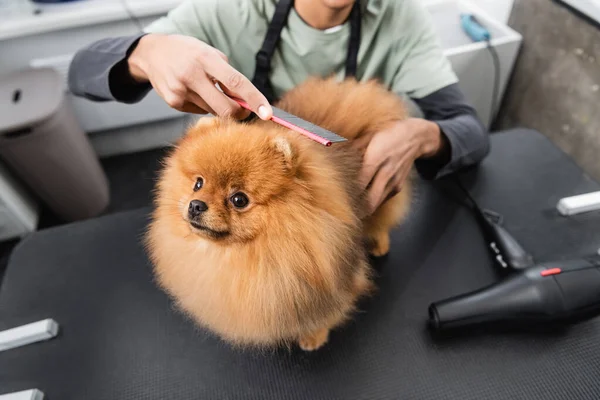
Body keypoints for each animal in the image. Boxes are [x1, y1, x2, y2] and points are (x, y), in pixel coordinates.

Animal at [145, 76, 412, 352]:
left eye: (239, 200)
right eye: (198, 184)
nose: (196, 205)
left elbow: (327, 312)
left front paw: (314, 337)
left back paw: (379, 244)